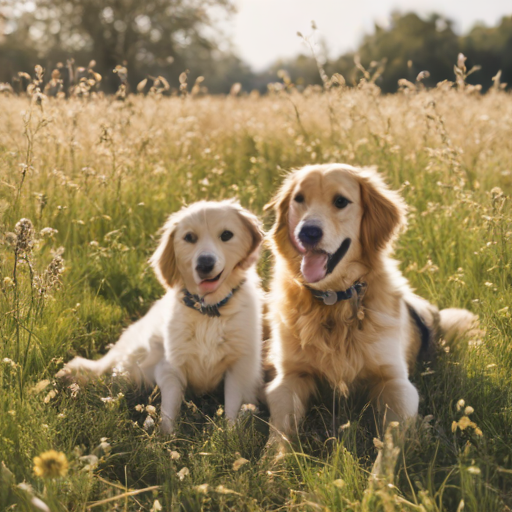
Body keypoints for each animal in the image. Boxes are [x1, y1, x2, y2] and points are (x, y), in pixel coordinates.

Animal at [56, 200, 264, 432]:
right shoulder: (171, 368)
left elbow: (232, 411)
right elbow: (169, 410)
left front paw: (229, 434)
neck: (208, 311)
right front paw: (167, 437)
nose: (204, 264)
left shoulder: (240, 369)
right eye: (189, 237)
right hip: (132, 362)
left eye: (226, 235)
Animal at [266, 164, 478, 436]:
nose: (307, 232)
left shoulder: (395, 380)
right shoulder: (289, 378)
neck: (333, 301)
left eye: (340, 201)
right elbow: (280, 434)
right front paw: (277, 450)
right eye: (299, 199)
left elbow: (392, 437)